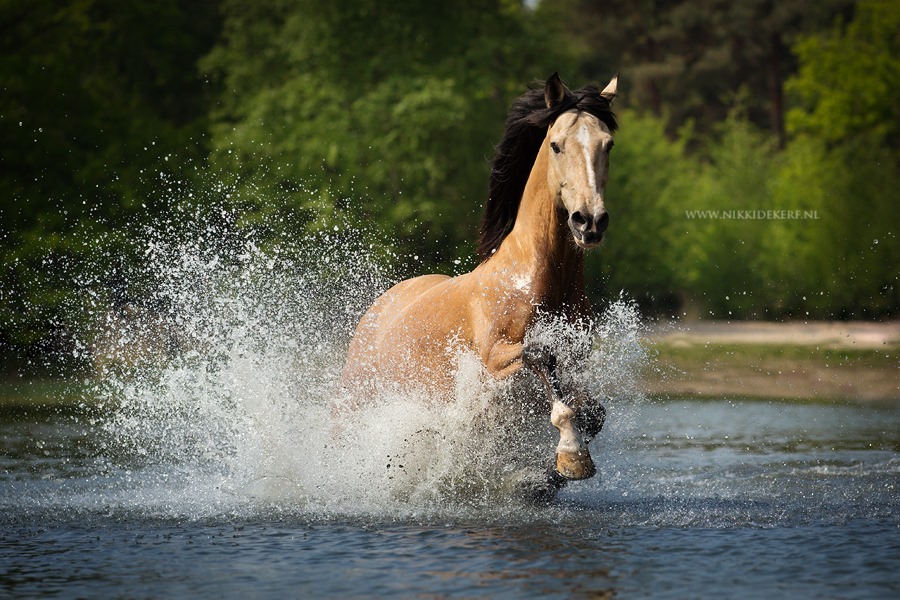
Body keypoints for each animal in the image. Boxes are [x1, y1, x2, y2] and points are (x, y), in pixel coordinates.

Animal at [342, 72, 616, 494]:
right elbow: (542, 354)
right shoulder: (494, 356)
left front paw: (552, 472)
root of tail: (378, 309)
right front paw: (572, 455)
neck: (533, 278)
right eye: (556, 144)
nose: (589, 221)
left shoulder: (575, 360)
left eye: (608, 144)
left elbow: (593, 412)